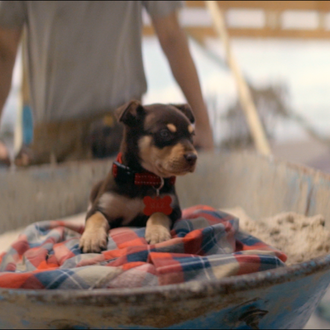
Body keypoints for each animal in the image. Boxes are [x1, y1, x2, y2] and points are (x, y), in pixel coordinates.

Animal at [79, 100, 199, 253]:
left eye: (192, 135)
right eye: (164, 133)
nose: (193, 157)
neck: (142, 177)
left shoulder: (173, 209)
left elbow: (158, 214)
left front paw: (158, 233)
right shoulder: (99, 208)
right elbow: (96, 218)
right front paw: (92, 239)